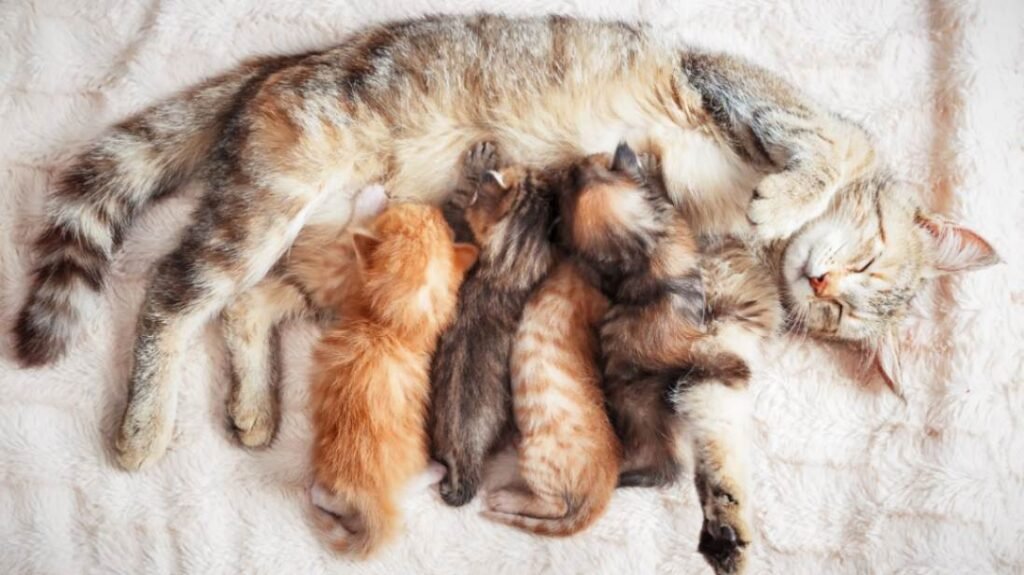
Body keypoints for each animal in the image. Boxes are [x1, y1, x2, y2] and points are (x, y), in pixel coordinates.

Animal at [305, 202, 477, 556]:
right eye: (436, 220)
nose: (426, 205)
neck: (392, 325)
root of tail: (371, 495)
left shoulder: (350, 287)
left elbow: (350, 235)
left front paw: (370, 198)